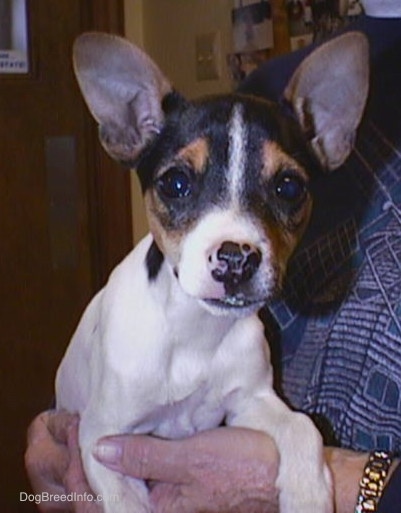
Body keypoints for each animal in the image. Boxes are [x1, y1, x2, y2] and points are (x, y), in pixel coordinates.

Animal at [56, 30, 368, 510]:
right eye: (175, 183)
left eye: (289, 187)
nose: (236, 258)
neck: (195, 333)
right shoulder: (101, 440)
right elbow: (127, 502)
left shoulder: (250, 401)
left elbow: (302, 427)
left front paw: (308, 492)